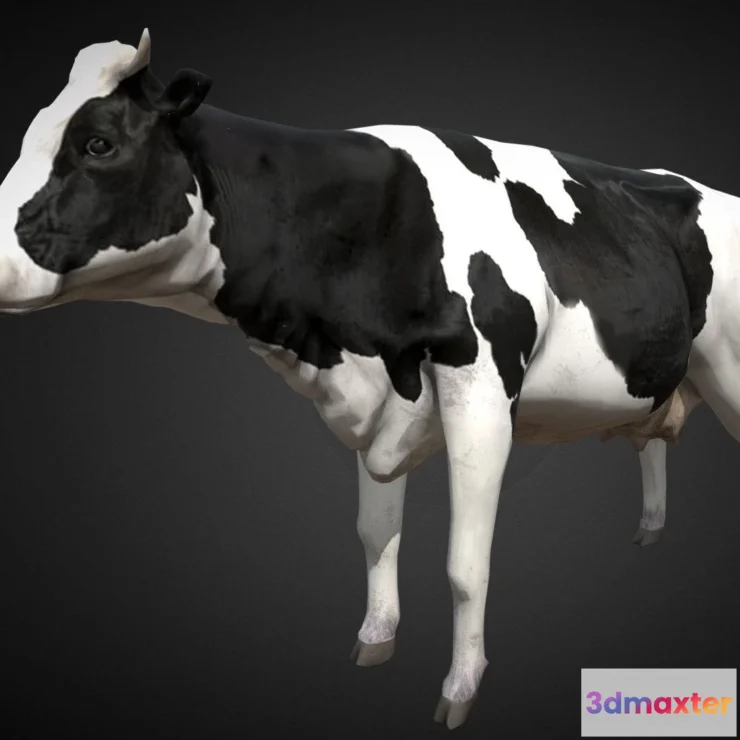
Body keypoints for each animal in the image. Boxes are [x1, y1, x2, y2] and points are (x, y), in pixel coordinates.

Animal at [0, 28, 728, 730]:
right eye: (30, 133)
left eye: (99, 143)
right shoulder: (381, 400)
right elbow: (375, 533)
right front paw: (375, 639)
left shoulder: (481, 391)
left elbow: (466, 566)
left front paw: (460, 689)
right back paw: (651, 528)